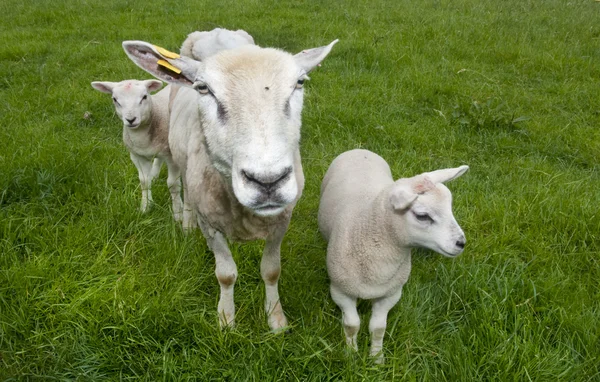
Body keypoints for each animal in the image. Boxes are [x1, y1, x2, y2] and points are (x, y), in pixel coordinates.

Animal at [90, 80, 184, 221]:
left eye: (144, 97)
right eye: (115, 99)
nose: (131, 119)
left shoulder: (172, 157)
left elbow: (173, 184)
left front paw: (178, 214)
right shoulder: (137, 155)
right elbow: (144, 181)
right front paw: (145, 207)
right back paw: (154, 175)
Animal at [122, 38, 338, 332]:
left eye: (300, 82)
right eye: (202, 88)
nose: (268, 182)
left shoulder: (282, 220)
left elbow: (271, 271)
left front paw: (276, 319)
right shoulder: (210, 223)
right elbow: (225, 274)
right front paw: (226, 320)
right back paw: (186, 224)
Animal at [318, 148, 468, 362]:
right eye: (422, 216)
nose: (461, 243)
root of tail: (360, 149)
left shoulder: (391, 293)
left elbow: (378, 328)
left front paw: (376, 358)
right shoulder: (340, 291)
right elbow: (352, 324)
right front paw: (351, 354)